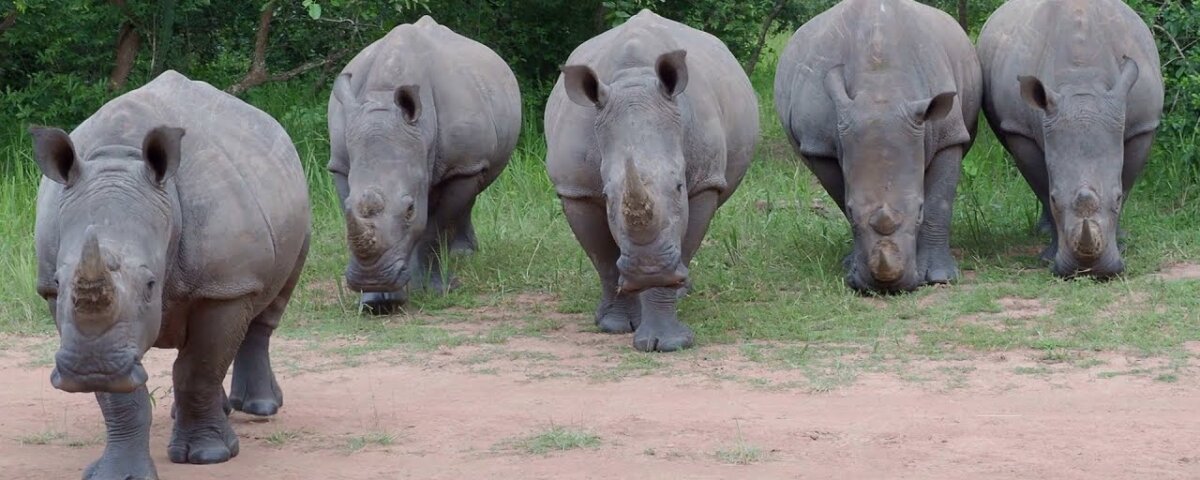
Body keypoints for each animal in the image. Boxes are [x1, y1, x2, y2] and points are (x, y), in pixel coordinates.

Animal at [32, 71, 310, 479]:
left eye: (151, 285)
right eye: (58, 281)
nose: (90, 368)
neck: (119, 156)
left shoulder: (224, 286)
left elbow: (198, 368)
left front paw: (209, 456)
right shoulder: (61, 303)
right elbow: (120, 396)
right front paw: (117, 472)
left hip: (293, 209)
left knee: (270, 299)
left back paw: (259, 408)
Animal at [328, 16, 521, 313]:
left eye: (410, 210)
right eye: (348, 204)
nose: (372, 280)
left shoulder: (463, 164)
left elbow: (433, 228)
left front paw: (432, 290)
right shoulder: (340, 164)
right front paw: (376, 301)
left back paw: (462, 256)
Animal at [545, 10, 759, 352]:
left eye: (679, 186)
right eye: (607, 195)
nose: (647, 270)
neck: (633, 78)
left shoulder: (704, 182)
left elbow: (683, 242)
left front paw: (668, 342)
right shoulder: (576, 189)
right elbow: (604, 260)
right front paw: (615, 325)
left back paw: (682, 290)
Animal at [774, 0, 981, 293]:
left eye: (919, 210)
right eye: (852, 211)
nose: (887, 287)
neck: (881, 90)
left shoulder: (948, 134)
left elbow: (940, 202)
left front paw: (940, 277)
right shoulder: (819, 145)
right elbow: (839, 194)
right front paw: (852, 267)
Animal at [978, 0, 1163, 278]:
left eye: (1117, 198)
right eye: (1056, 199)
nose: (1089, 270)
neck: (1082, 83)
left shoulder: (1143, 125)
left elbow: (1128, 180)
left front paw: (1120, 243)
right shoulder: (1019, 129)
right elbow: (1041, 185)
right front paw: (1049, 257)